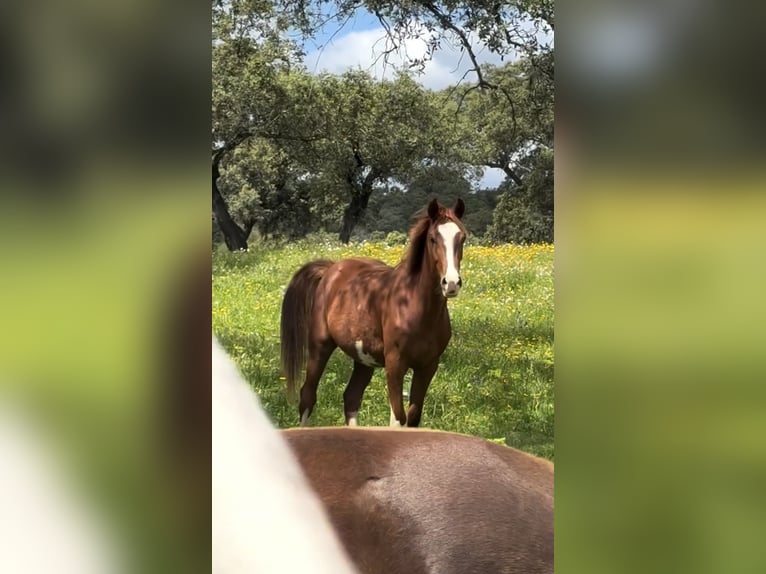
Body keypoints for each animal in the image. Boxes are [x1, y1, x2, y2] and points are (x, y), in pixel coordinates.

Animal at [280, 197, 468, 428]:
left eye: (462, 238)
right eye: (433, 239)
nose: (451, 283)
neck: (415, 306)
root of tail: (331, 269)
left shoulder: (428, 366)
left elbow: (413, 418)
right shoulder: (395, 364)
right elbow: (399, 419)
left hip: (363, 360)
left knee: (351, 397)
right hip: (320, 346)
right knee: (308, 395)